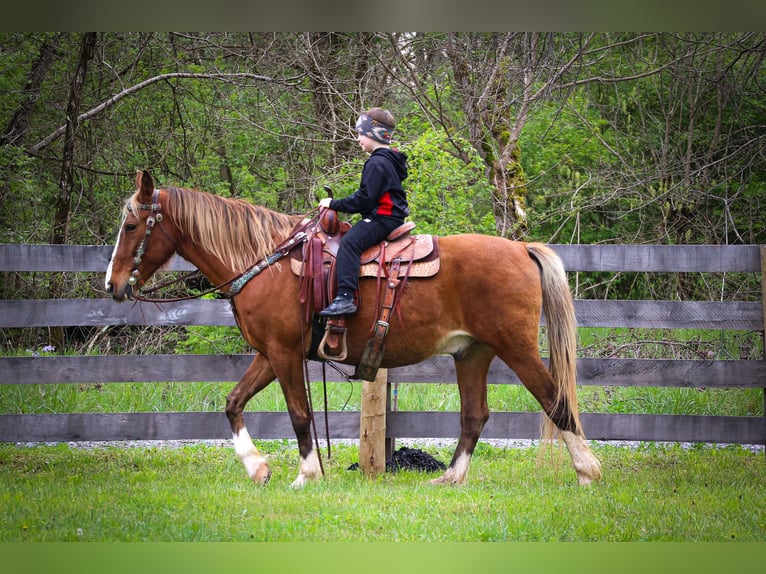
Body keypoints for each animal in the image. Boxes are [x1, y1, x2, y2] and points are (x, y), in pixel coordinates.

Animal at [106, 171, 608, 490]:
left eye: (131, 225)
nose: (112, 285)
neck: (266, 260)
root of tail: (522, 249)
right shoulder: (268, 354)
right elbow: (233, 403)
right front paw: (258, 469)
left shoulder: (284, 354)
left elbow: (300, 414)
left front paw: (306, 475)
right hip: (473, 354)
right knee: (474, 416)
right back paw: (450, 477)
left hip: (516, 348)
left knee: (556, 400)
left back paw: (588, 472)